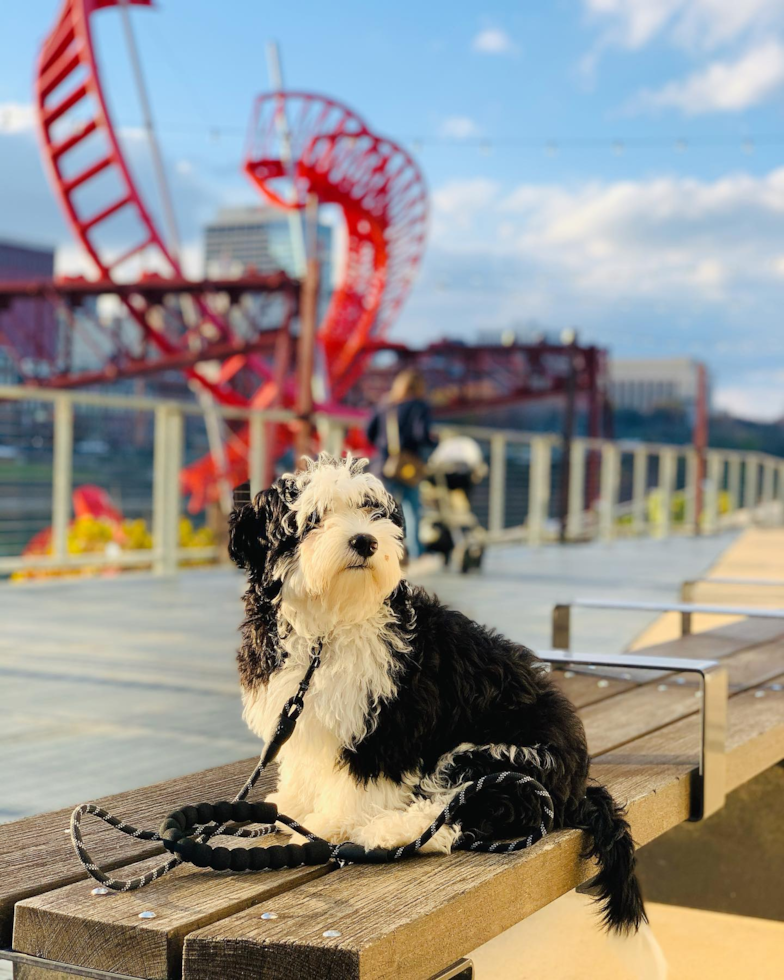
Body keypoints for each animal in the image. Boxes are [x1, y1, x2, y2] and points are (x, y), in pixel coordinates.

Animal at [230, 456, 648, 932]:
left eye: (372, 512)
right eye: (314, 519)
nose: (365, 540)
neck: (331, 622)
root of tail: (577, 786)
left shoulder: (388, 724)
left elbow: (360, 781)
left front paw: (335, 822)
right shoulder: (301, 710)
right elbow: (302, 763)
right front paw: (291, 806)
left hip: (494, 755)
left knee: (467, 811)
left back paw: (388, 833)